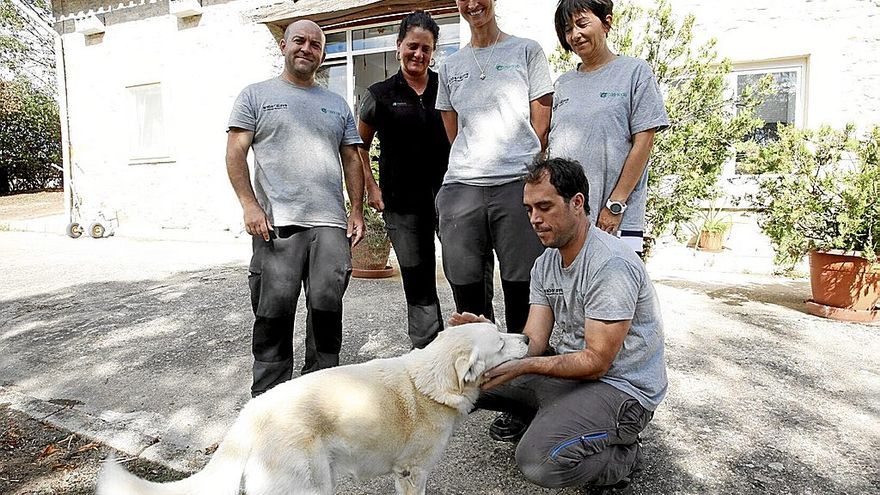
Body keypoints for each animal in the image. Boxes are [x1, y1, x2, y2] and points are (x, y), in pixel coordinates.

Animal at [96, 324, 524, 494]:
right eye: (500, 342)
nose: (525, 335)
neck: (429, 385)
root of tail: (255, 409)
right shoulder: (411, 473)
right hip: (308, 485)